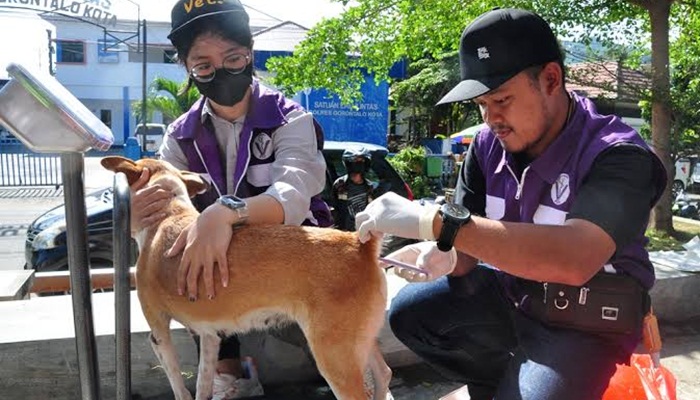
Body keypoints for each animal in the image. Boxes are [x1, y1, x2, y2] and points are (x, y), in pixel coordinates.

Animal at [100, 157, 392, 400]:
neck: (169, 214)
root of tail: (358, 244)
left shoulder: (159, 332)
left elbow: (179, 387)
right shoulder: (210, 337)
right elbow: (202, 385)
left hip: (334, 357)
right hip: (361, 342)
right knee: (384, 374)